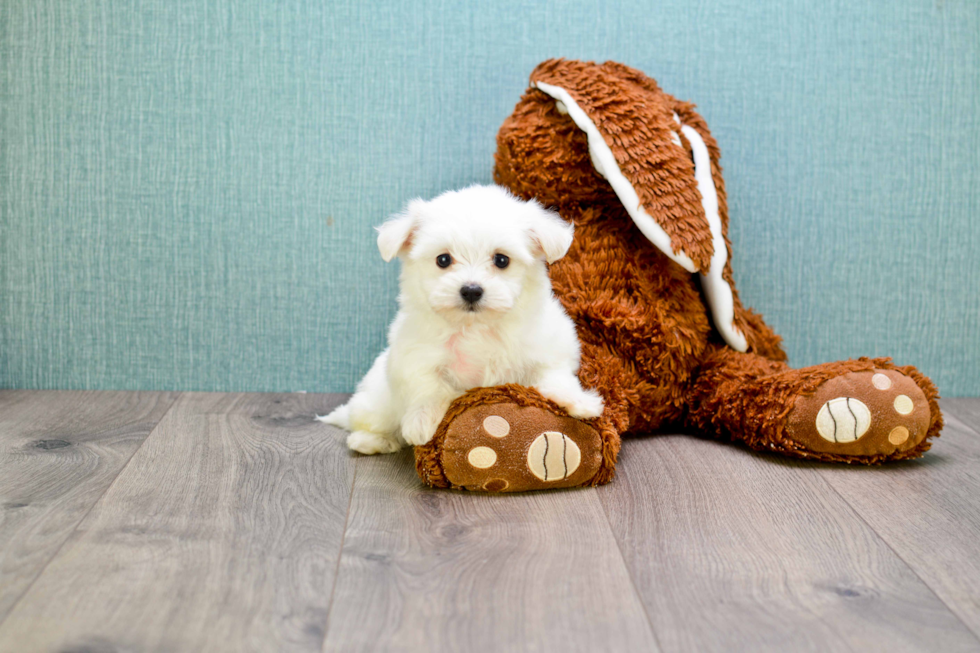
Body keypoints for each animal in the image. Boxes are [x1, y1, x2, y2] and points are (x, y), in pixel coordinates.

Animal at [318, 181, 600, 450]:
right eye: (443, 259)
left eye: (501, 260)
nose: (471, 290)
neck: (476, 326)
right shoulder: (413, 354)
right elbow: (428, 385)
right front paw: (421, 422)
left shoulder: (548, 350)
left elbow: (556, 377)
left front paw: (580, 402)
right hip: (378, 402)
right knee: (365, 419)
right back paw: (371, 441)